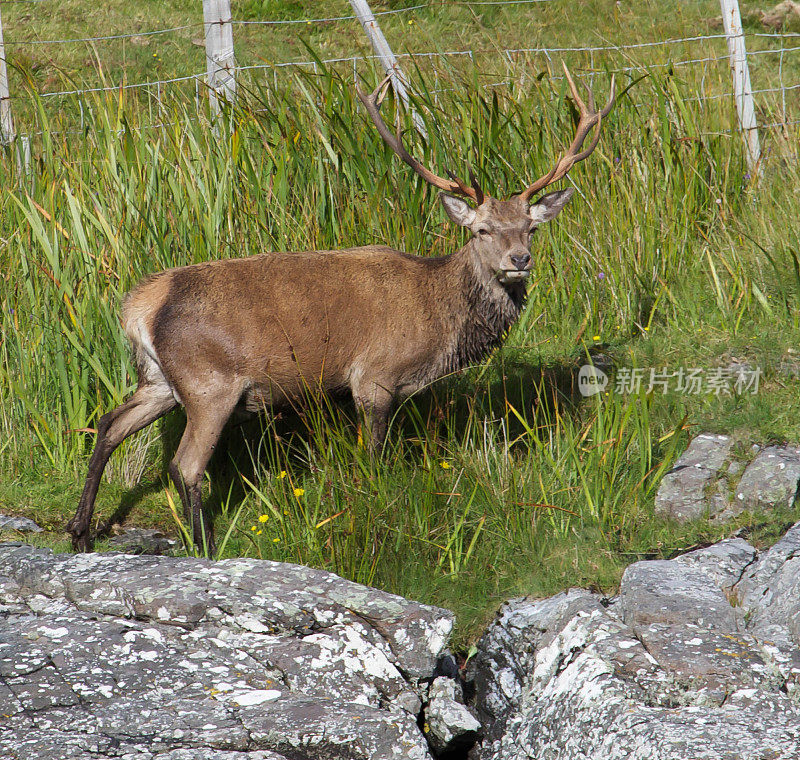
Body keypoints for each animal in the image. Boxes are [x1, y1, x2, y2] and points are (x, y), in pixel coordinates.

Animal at [69, 67, 616, 552]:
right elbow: (374, 455)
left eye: (531, 227)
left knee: (109, 423)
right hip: (209, 383)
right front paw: (377, 507)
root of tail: (140, 306)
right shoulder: (374, 377)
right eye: (482, 230)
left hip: (160, 380)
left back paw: (80, 532)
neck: (440, 320)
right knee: (184, 465)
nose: (518, 260)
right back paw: (204, 546)